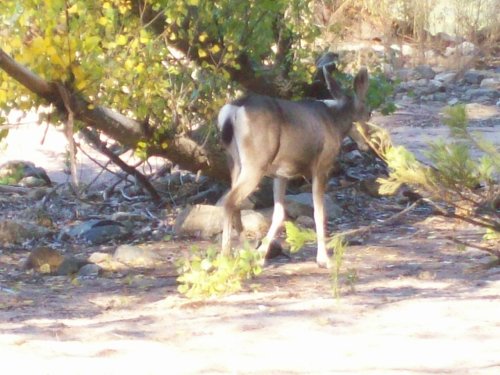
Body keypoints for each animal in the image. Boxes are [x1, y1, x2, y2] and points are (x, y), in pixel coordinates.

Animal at [217, 67, 370, 268]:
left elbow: (279, 213)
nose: (368, 143)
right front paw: (324, 259)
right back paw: (226, 257)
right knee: (229, 201)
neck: (335, 122)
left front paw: (260, 256)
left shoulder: (281, 173)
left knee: (235, 204)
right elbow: (319, 212)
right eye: (369, 114)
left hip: (234, 162)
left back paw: (245, 253)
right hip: (255, 163)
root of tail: (233, 111)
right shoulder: (321, 166)